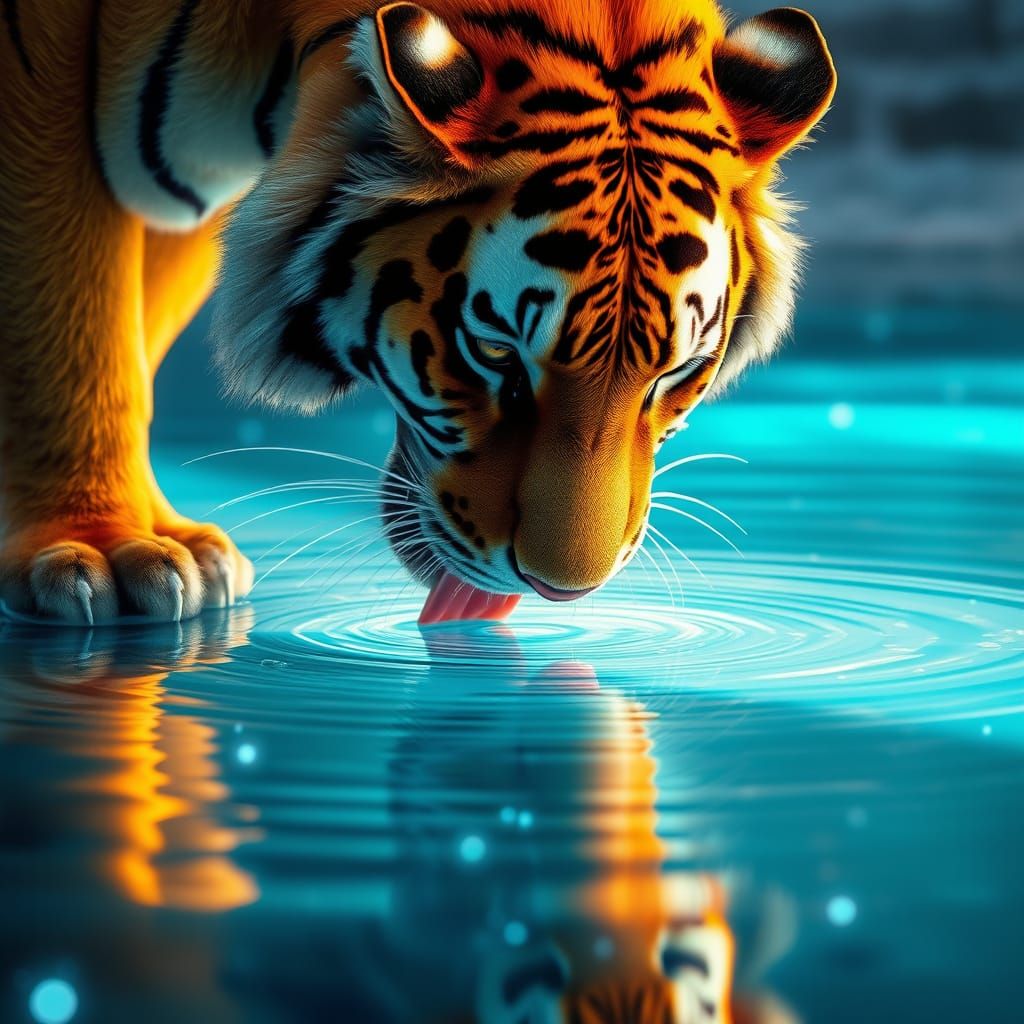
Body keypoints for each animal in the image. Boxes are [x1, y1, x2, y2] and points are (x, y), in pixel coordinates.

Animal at [0, 1, 836, 625]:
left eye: (677, 373)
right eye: (495, 354)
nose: (561, 592)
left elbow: (130, 328)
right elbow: (70, 312)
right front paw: (105, 547)